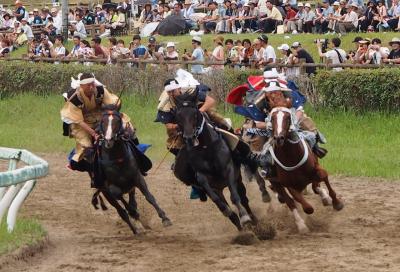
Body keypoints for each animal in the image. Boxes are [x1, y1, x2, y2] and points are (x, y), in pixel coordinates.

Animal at [94, 105, 172, 235]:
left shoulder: (137, 178)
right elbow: (119, 196)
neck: (117, 159)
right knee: (122, 210)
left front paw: (165, 218)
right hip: (106, 193)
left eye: (117, 121)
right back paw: (135, 228)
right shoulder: (110, 187)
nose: (109, 140)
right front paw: (134, 214)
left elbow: (149, 197)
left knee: (132, 201)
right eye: (103, 122)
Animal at [174, 92, 256, 231]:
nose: (189, 137)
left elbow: (235, 197)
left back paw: (253, 221)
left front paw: (245, 217)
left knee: (243, 198)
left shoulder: (228, 169)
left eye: (195, 113)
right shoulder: (202, 177)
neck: (206, 147)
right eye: (178, 115)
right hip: (218, 187)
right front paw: (229, 212)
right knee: (224, 204)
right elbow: (219, 202)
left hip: (237, 179)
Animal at [266, 91, 344, 234]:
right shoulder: (290, 185)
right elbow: (306, 207)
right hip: (276, 182)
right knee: (289, 200)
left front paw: (337, 203)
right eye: (272, 118)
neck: (291, 157)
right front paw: (302, 225)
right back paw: (301, 224)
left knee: (315, 186)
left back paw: (324, 197)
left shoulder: (316, 168)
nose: (279, 138)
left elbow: (323, 176)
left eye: (287, 117)